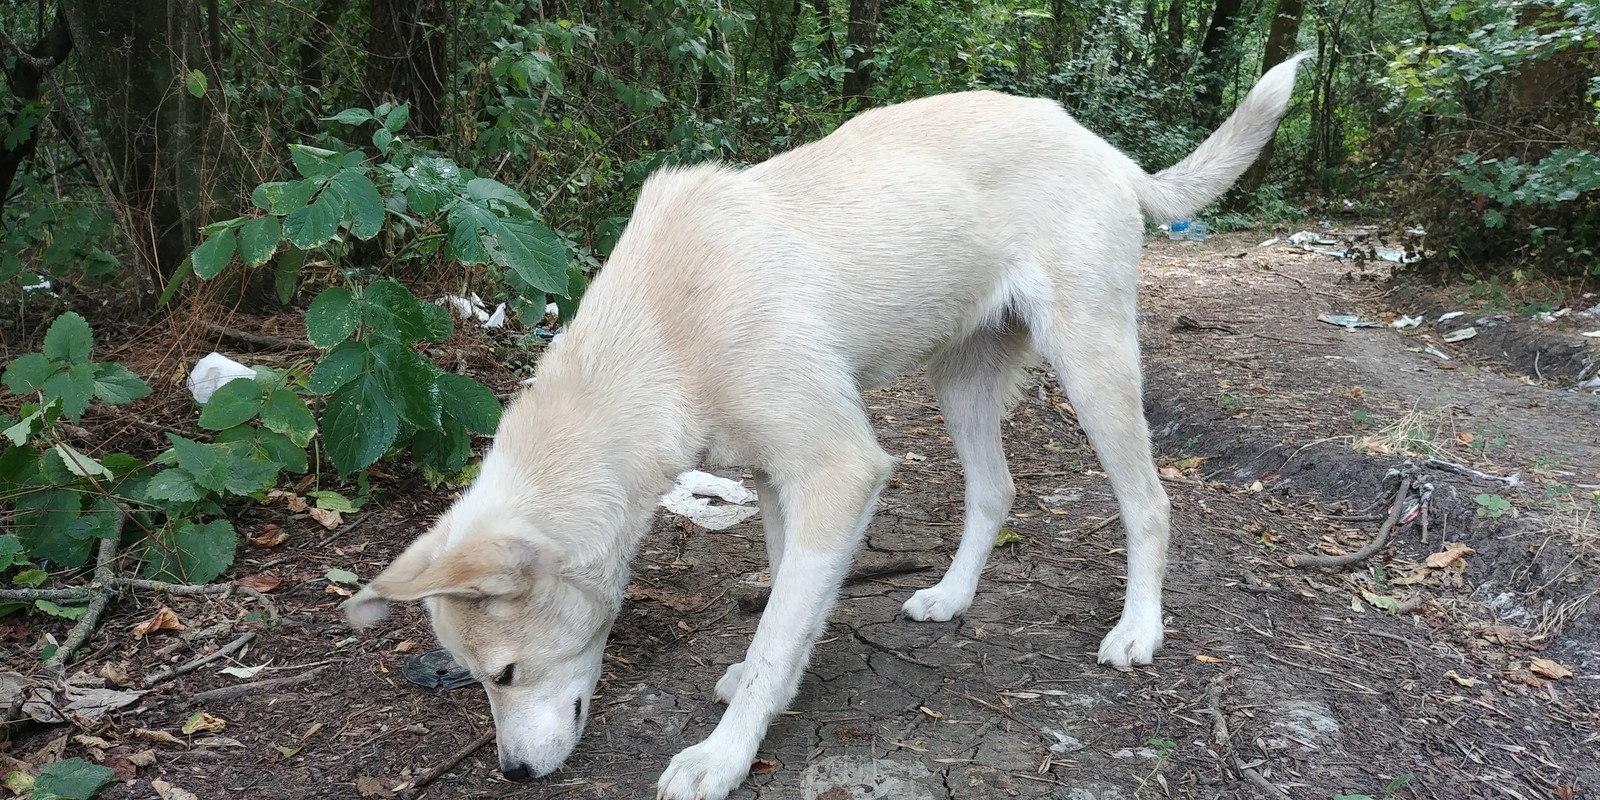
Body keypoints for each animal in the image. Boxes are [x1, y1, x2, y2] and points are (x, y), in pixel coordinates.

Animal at [344, 54, 1305, 800]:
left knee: (1149, 503)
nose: (511, 773)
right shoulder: (779, 481)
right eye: (479, 680)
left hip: (1094, 363)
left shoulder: (839, 471)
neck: (663, 333)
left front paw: (725, 754)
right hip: (960, 380)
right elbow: (786, 604)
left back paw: (1138, 631)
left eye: (503, 673)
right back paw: (952, 597)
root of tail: (1099, 144)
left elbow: (777, 635)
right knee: (996, 491)